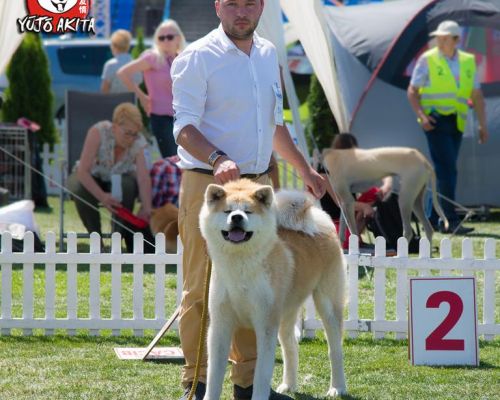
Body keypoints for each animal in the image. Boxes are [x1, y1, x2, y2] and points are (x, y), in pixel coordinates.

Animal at [199, 180, 348, 398]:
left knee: (335, 349)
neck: (240, 264)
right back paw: (289, 385)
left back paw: (337, 388)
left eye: (248, 211)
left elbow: (261, 374)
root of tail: (321, 222)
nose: (236, 217)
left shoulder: (266, 324)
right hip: (286, 315)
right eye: (227, 211)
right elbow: (214, 376)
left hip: (327, 304)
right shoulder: (220, 325)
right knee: (291, 347)